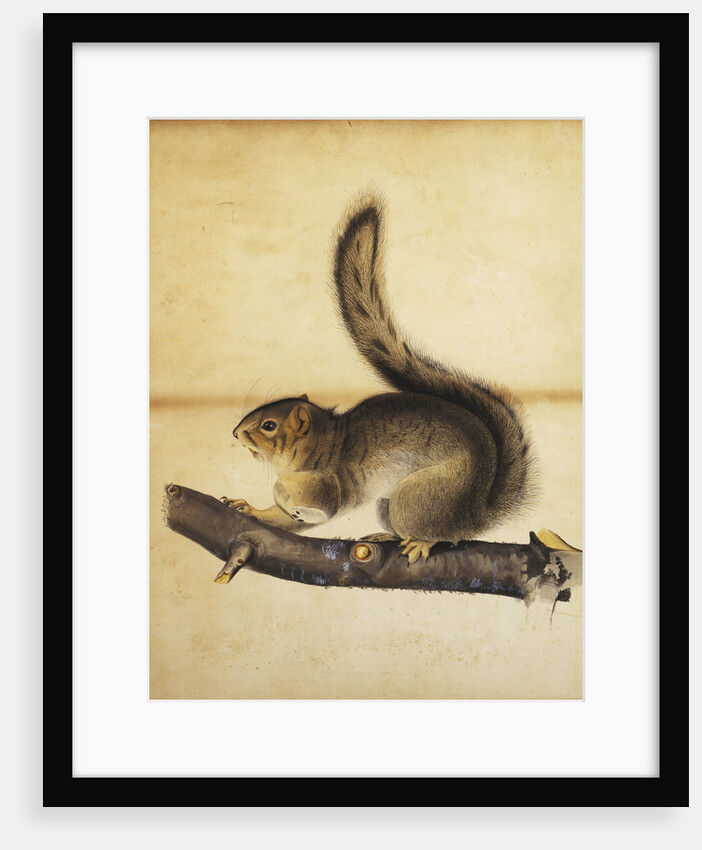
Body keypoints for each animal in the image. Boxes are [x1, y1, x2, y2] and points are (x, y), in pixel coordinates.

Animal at [223, 194, 536, 563]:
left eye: (269, 426)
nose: (236, 433)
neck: (324, 442)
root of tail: (479, 513)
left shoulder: (335, 483)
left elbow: (317, 500)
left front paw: (284, 494)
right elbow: (282, 518)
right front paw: (249, 508)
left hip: (418, 497)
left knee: (446, 535)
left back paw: (421, 542)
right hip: (387, 505)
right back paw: (387, 537)